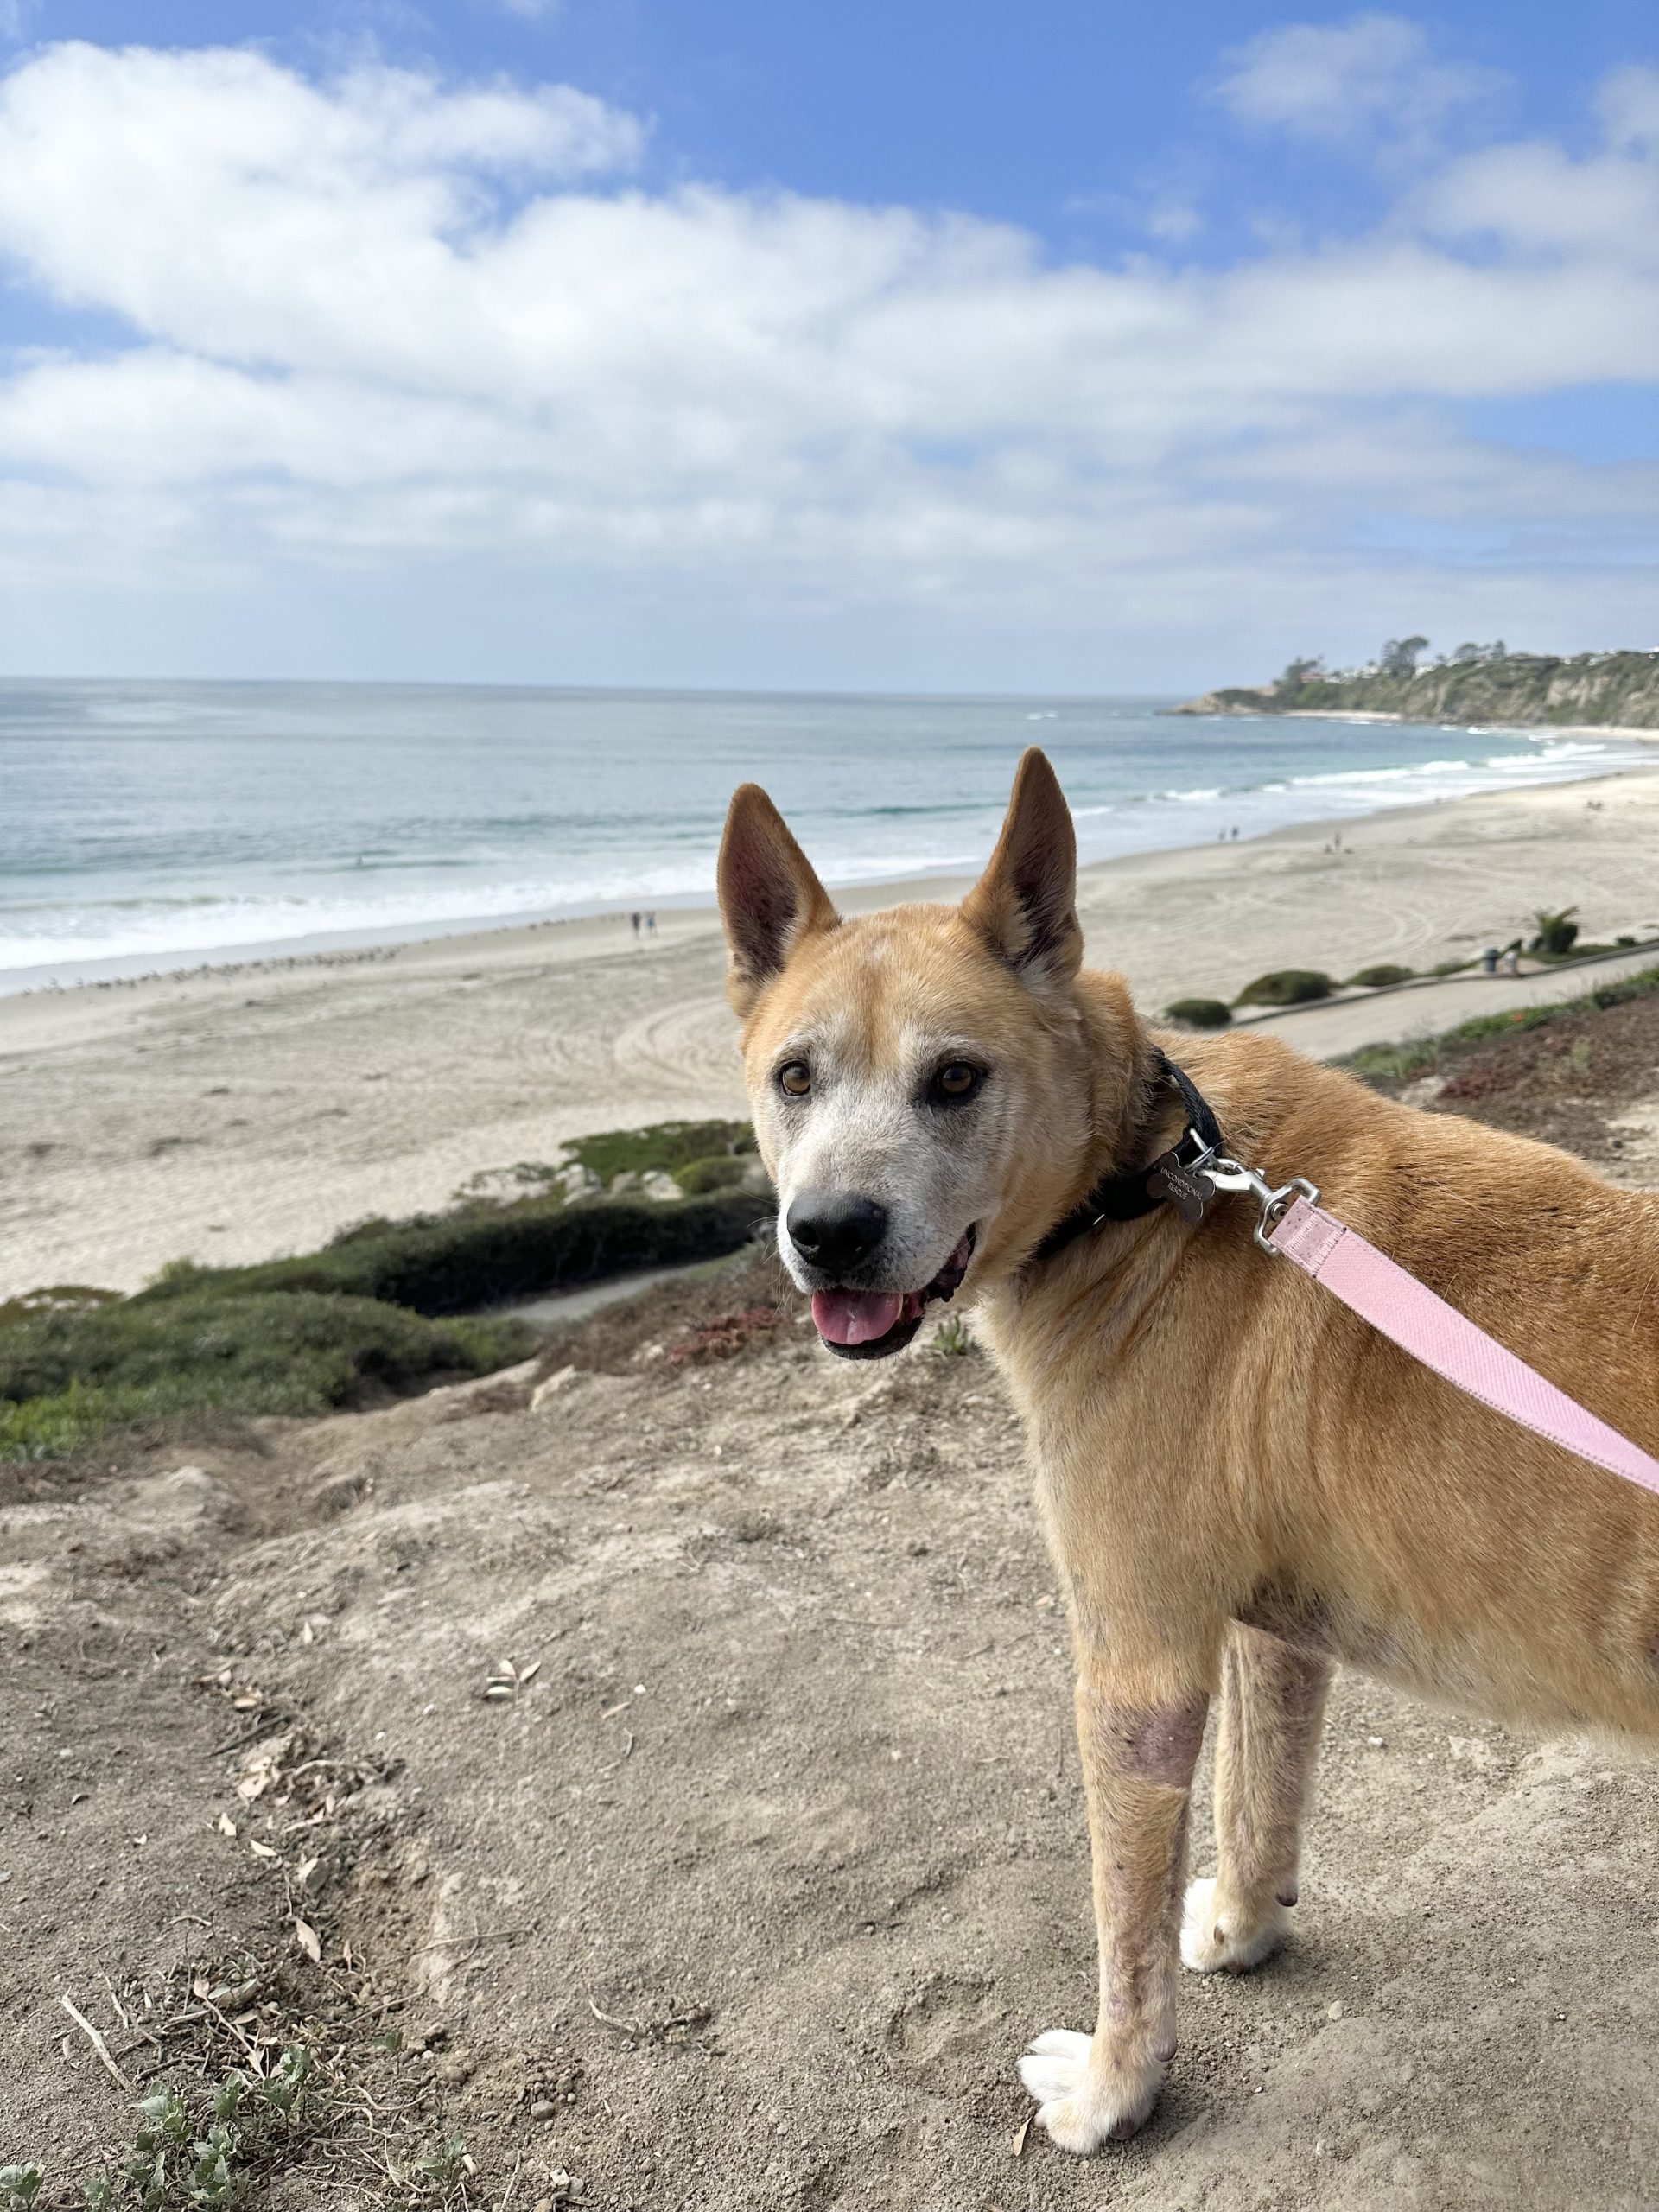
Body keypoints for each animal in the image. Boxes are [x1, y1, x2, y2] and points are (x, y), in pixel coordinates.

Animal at [716, 752, 1659, 2150]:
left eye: (956, 1080)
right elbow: (1259, 1797)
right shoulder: (1274, 1630)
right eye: (794, 1078)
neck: (1139, 1185)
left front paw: (1116, 2090)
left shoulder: (1137, 1673)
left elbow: (1126, 1929)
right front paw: (1245, 1924)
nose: (828, 1232)